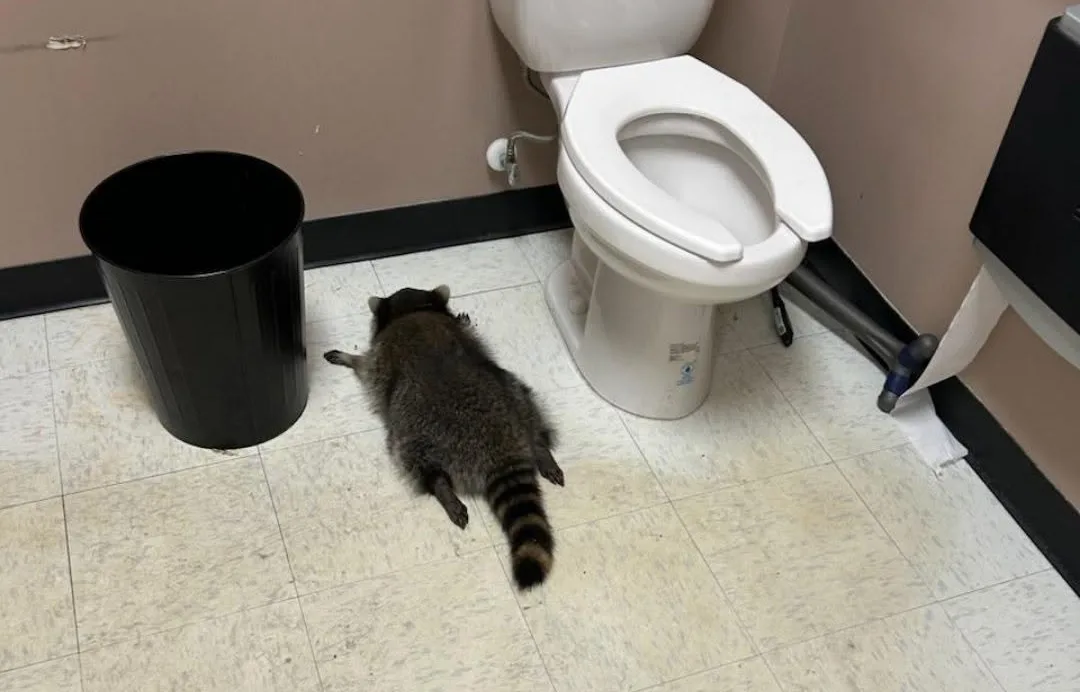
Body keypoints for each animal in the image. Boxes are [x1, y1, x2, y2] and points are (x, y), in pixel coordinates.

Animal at [323, 285, 563, 589]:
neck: (413, 310)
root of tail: (501, 448)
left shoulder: (381, 356)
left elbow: (365, 366)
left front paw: (349, 358)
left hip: (417, 430)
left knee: (414, 459)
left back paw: (441, 487)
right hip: (514, 393)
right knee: (528, 405)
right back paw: (541, 448)